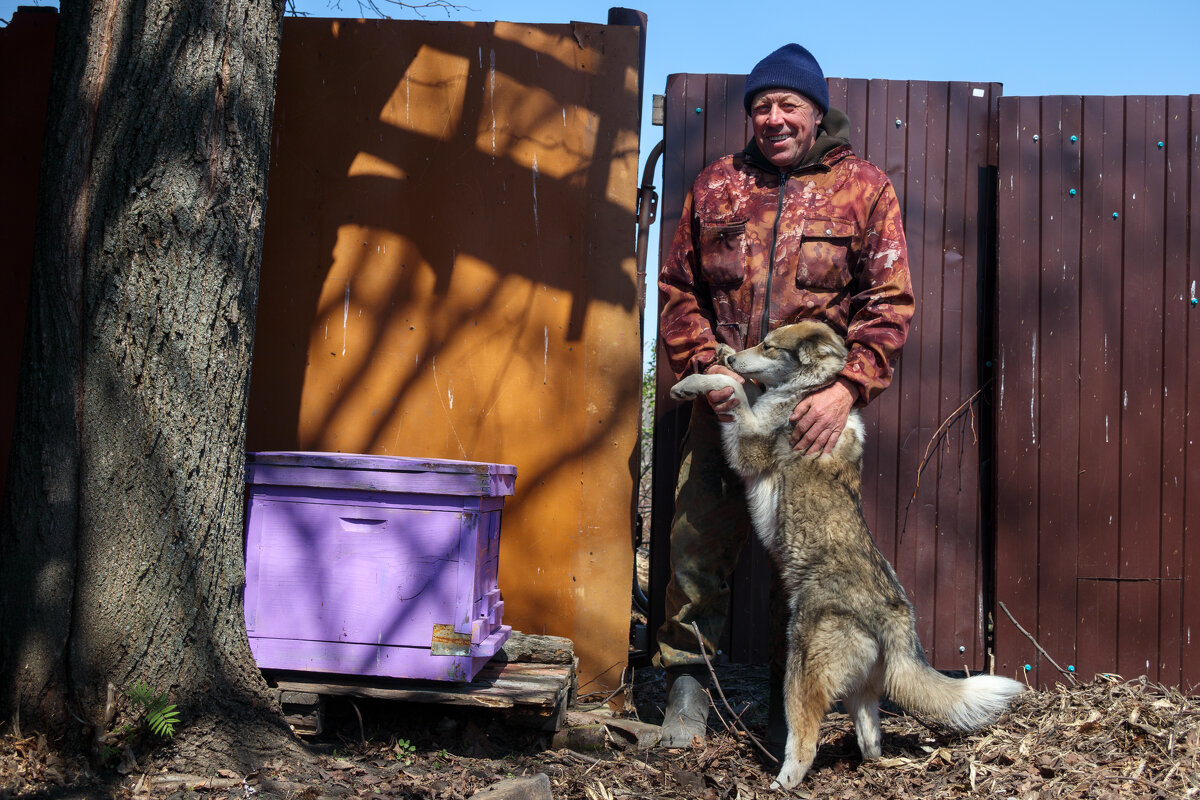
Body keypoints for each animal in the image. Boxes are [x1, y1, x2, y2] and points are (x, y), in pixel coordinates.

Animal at [667, 321, 1022, 796]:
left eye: (769, 346)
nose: (733, 356)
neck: (809, 389)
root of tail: (896, 615)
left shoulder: (748, 444)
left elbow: (735, 390)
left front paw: (695, 382)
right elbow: (741, 385)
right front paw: (718, 356)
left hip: (801, 670)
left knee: (805, 742)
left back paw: (782, 781)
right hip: (863, 691)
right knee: (871, 741)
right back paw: (872, 765)